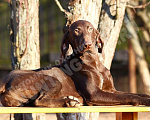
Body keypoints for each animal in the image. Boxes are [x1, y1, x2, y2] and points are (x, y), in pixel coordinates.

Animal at [0, 19, 150, 107]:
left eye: (90, 29)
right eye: (76, 30)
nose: (87, 45)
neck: (93, 62)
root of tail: (5, 80)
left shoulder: (111, 90)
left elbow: (136, 93)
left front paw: (146, 96)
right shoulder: (94, 94)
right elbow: (129, 96)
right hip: (52, 80)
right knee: (37, 101)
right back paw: (69, 102)